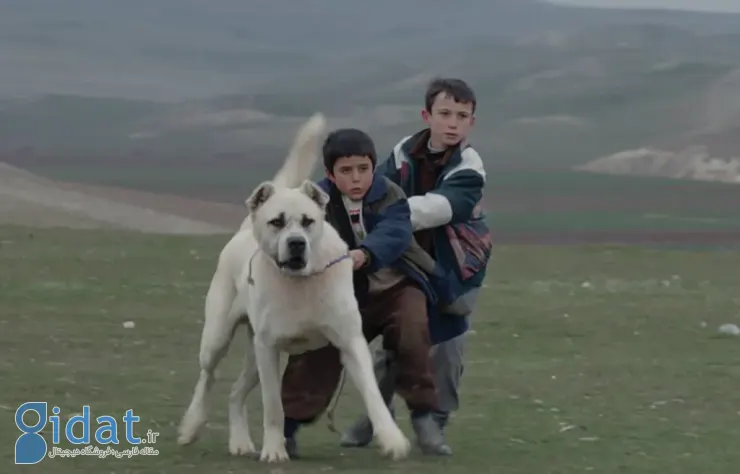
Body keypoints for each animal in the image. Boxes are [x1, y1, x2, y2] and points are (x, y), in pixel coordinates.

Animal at [177, 114, 414, 462]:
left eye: (308, 221)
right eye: (277, 222)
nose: (296, 244)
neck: (302, 282)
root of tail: (244, 230)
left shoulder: (350, 342)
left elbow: (373, 396)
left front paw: (392, 439)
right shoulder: (269, 348)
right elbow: (274, 406)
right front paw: (274, 451)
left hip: (253, 356)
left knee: (235, 392)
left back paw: (240, 442)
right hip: (220, 339)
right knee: (208, 377)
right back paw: (192, 426)